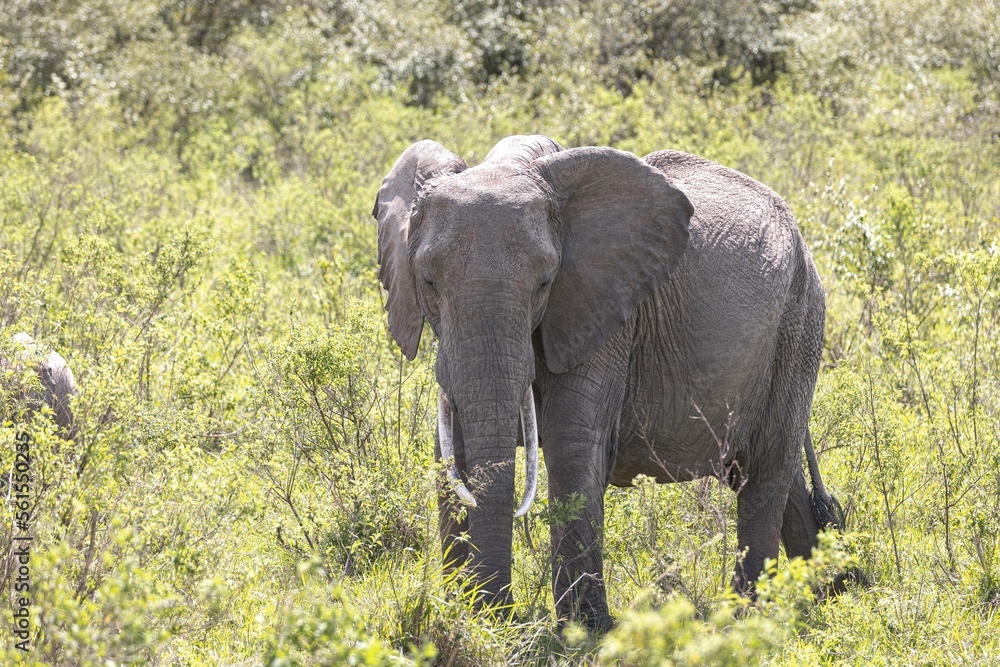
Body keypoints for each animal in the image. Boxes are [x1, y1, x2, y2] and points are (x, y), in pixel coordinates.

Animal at [372, 135, 843, 631]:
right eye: (426, 280)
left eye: (545, 282)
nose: (502, 614)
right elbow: (451, 444)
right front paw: (467, 618)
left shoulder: (606, 312)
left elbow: (573, 444)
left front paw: (585, 632)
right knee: (769, 472)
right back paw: (826, 592)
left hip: (798, 322)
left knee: (766, 468)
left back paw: (744, 619)